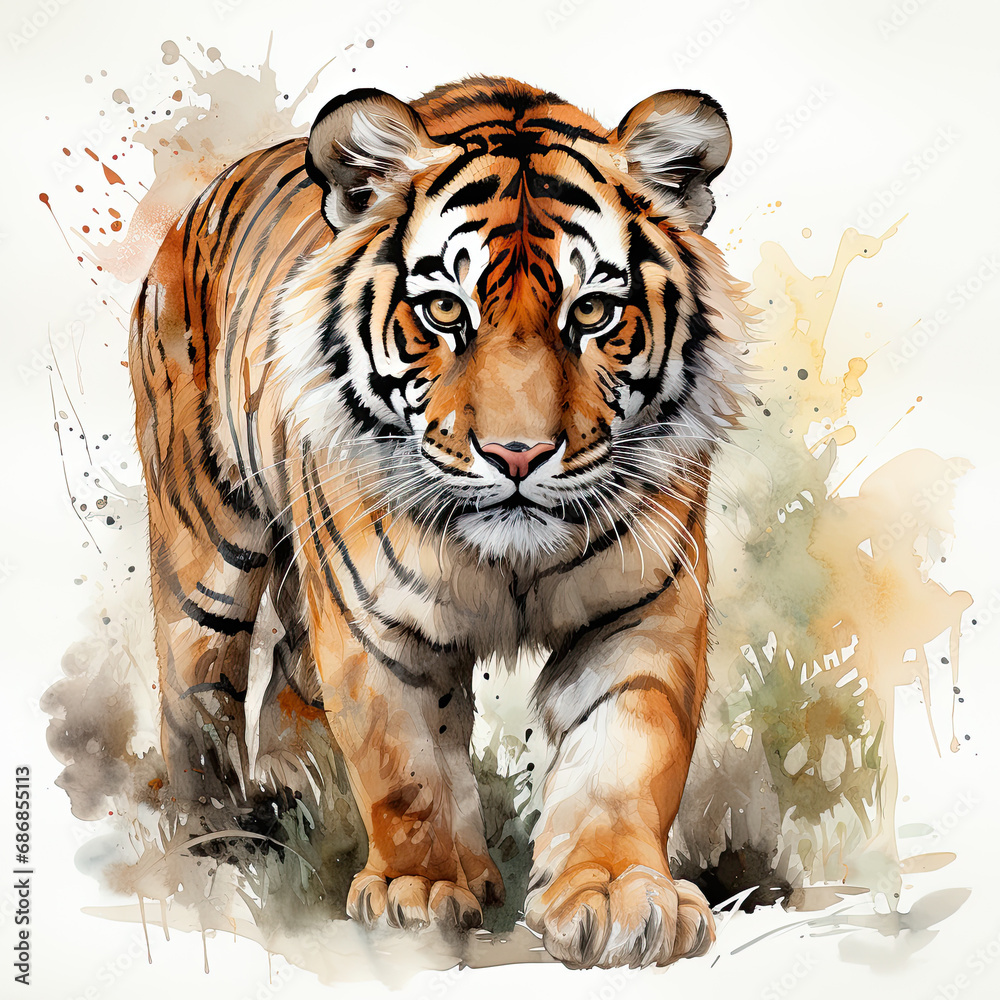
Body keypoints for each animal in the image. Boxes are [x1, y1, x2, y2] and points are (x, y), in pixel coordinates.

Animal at [129, 75, 746, 969]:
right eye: (445, 312)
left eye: (594, 311)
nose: (519, 454)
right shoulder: (376, 628)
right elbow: (405, 766)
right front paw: (419, 892)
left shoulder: (644, 612)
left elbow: (626, 756)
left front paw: (617, 896)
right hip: (205, 547)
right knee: (195, 687)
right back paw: (210, 841)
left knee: (289, 675)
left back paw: (298, 793)